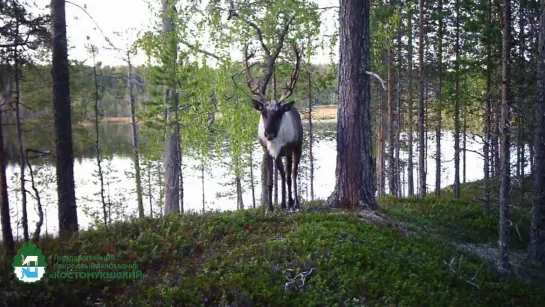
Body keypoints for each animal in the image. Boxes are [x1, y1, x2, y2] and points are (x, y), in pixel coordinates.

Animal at [244, 42, 304, 214]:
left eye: (279, 113)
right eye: (263, 113)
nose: (269, 134)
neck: (276, 142)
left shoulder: (289, 150)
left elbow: (290, 177)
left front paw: (291, 204)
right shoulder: (267, 152)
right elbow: (270, 182)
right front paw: (270, 208)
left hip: (298, 147)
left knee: (293, 174)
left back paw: (294, 203)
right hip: (278, 156)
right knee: (282, 174)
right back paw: (282, 204)